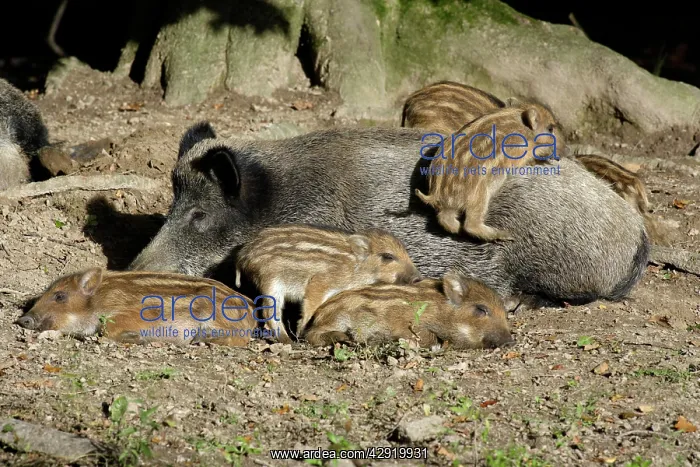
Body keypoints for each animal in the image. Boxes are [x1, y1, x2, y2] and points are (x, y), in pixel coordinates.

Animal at [234, 223, 422, 341]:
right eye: (388, 256)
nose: (418, 278)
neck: (356, 266)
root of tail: (244, 254)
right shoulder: (320, 282)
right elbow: (310, 306)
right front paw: (302, 332)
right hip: (270, 281)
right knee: (270, 312)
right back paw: (288, 341)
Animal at [301, 272, 513, 350]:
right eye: (481, 309)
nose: (511, 341)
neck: (441, 311)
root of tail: (320, 312)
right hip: (335, 320)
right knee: (311, 335)